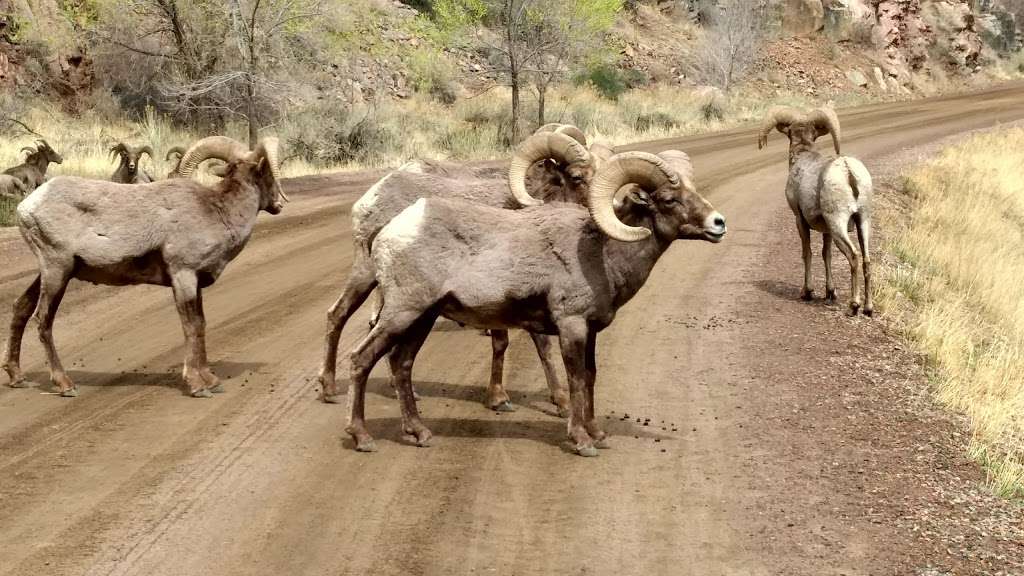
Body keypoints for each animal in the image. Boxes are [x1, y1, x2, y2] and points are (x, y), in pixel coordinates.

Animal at [4, 135, 288, 393]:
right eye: (267, 174)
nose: (279, 204)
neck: (218, 212)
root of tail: (26, 208)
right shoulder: (183, 276)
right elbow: (191, 325)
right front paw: (196, 385)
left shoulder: (195, 282)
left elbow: (201, 325)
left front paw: (210, 380)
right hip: (57, 270)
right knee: (43, 319)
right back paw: (64, 384)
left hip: (51, 272)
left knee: (21, 308)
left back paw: (17, 377)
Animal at [315, 127, 598, 414]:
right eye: (576, 177)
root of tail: (369, 199)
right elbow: (513, 343)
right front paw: (506, 398)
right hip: (370, 275)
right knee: (342, 316)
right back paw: (333, 388)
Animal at [346, 150, 729, 455]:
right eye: (668, 199)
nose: (718, 224)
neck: (601, 254)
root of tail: (389, 232)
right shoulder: (571, 326)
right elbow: (575, 380)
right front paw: (582, 441)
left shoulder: (590, 331)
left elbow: (590, 377)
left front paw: (597, 433)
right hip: (401, 313)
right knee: (361, 359)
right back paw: (362, 437)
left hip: (421, 318)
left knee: (401, 364)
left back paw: (419, 433)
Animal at [757, 105, 876, 315]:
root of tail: (848, 172)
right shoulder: (826, 230)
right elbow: (825, 255)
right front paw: (830, 293)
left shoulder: (800, 220)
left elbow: (808, 253)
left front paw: (808, 292)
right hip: (863, 221)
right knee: (866, 260)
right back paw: (868, 309)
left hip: (838, 224)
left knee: (853, 255)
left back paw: (854, 305)